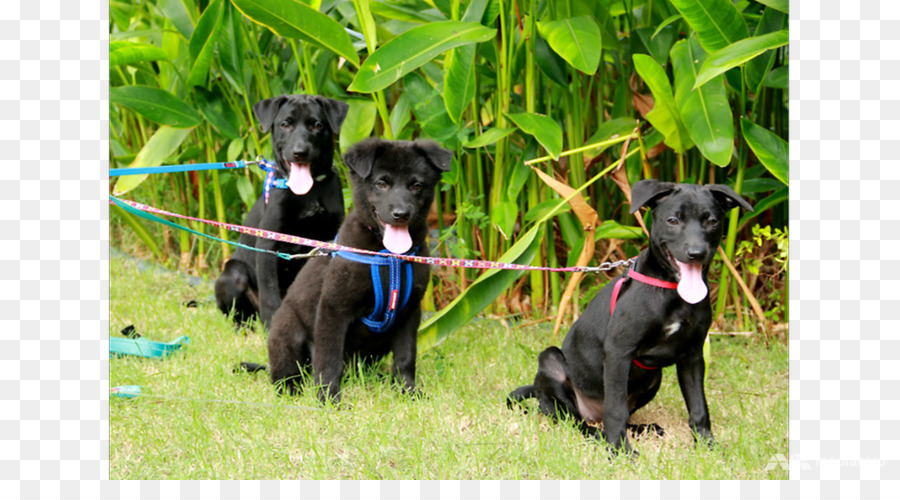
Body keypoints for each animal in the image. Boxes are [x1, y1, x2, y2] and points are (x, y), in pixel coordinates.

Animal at [214, 94, 348, 328]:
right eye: (285, 124)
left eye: (317, 125)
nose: (300, 152)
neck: (309, 192)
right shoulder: (268, 244)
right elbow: (269, 292)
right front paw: (272, 325)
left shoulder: (330, 241)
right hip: (233, 275)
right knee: (238, 315)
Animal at [266, 139, 450, 404]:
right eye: (382, 183)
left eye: (417, 185)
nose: (401, 214)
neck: (389, 258)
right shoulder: (333, 308)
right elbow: (329, 359)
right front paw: (329, 399)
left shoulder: (409, 313)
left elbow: (406, 357)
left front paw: (408, 391)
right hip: (287, 330)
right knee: (288, 370)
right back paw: (291, 388)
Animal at [510, 180, 756, 454]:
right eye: (672, 220)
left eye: (712, 221)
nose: (696, 253)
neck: (673, 292)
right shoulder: (619, 351)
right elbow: (616, 410)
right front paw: (619, 451)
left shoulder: (692, 355)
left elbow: (699, 406)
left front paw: (706, 444)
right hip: (551, 362)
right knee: (574, 420)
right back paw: (599, 435)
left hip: (654, 378)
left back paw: (644, 429)